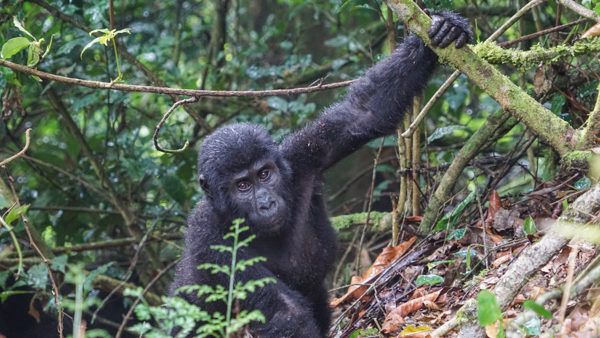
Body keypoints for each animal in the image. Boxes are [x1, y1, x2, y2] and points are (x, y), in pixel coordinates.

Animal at [170, 10, 474, 338]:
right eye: (242, 186)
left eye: (264, 174)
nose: (266, 202)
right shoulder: (208, 237)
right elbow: (284, 313)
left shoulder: (299, 156)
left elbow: (363, 113)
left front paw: (444, 28)